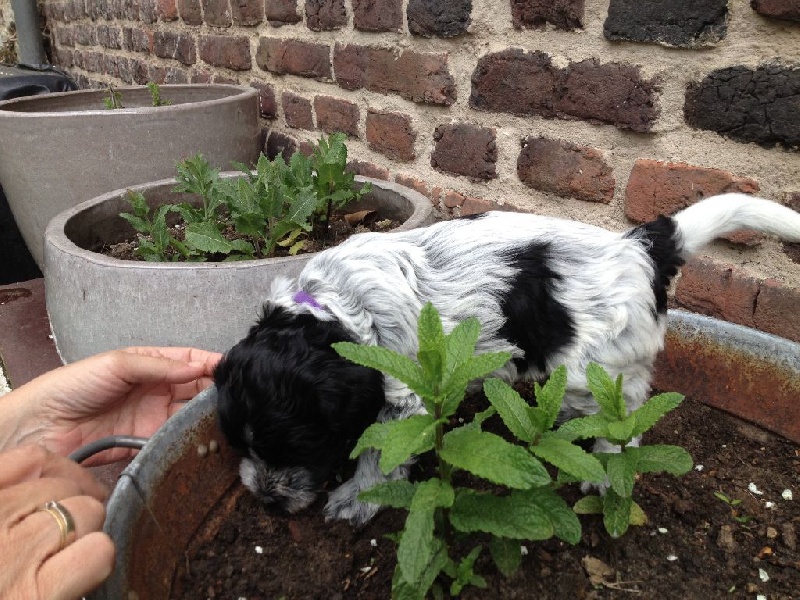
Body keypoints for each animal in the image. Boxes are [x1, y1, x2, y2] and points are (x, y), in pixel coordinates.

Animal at [214, 193, 800, 526]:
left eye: (298, 446)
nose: (265, 500)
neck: (330, 310)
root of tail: (640, 246)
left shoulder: (403, 395)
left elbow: (379, 453)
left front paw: (357, 499)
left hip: (600, 367)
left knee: (625, 419)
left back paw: (606, 471)